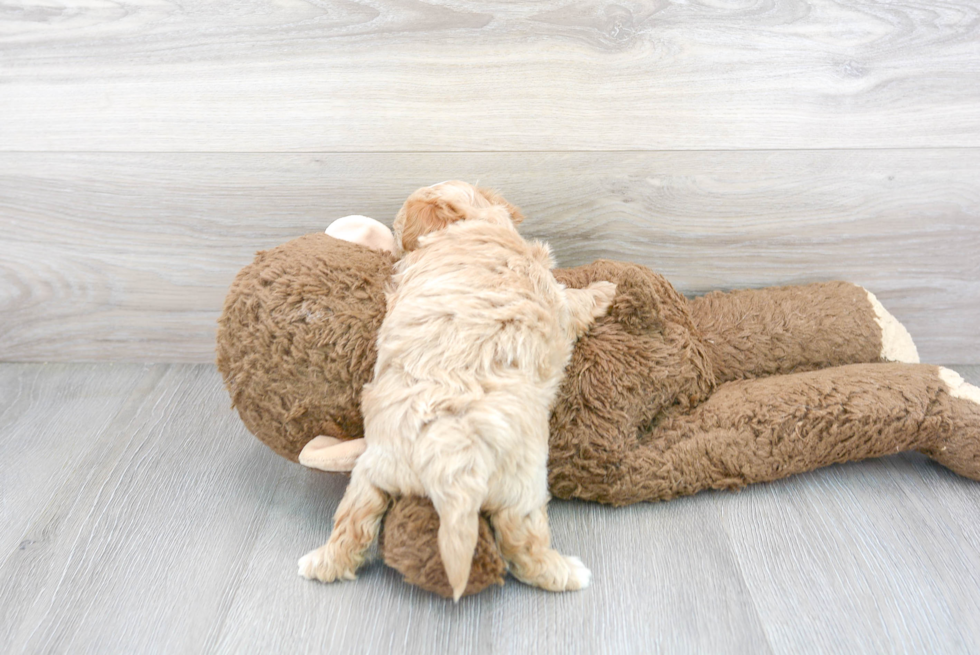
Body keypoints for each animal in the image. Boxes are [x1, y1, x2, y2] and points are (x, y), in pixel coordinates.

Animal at [298, 182, 616, 604]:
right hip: (523, 486)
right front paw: (605, 289)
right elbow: (577, 300)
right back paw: (565, 572)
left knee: (354, 522)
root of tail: (450, 470)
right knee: (522, 543)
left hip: (373, 472)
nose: (395, 248)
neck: (470, 225)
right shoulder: (555, 295)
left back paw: (321, 563)